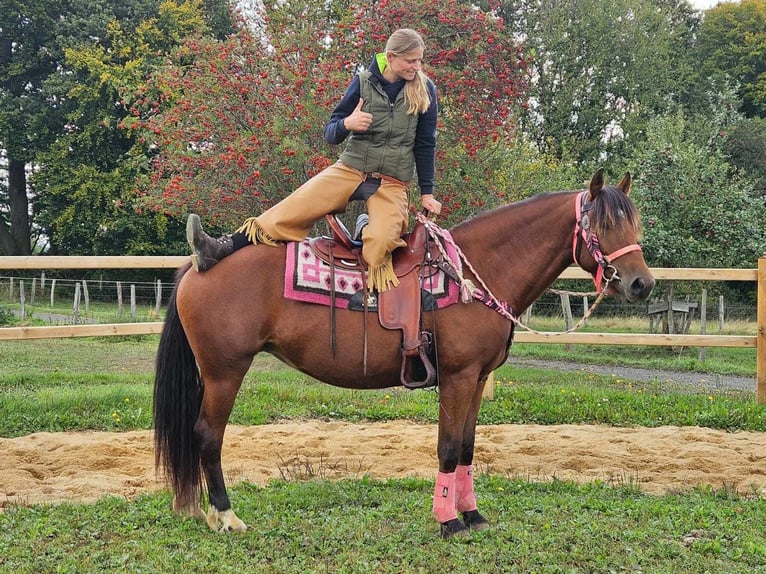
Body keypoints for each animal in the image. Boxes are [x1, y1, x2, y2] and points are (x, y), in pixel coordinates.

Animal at [154, 170, 656, 540]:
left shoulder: (477, 379)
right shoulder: (456, 377)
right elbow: (448, 447)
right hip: (224, 372)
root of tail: (198, 266)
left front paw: (472, 515)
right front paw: (448, 522)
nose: (642, 284)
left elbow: (468, 446)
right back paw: (225, 516)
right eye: (603, 226)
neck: (473, 272)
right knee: (207, 436)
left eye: (634, 224)